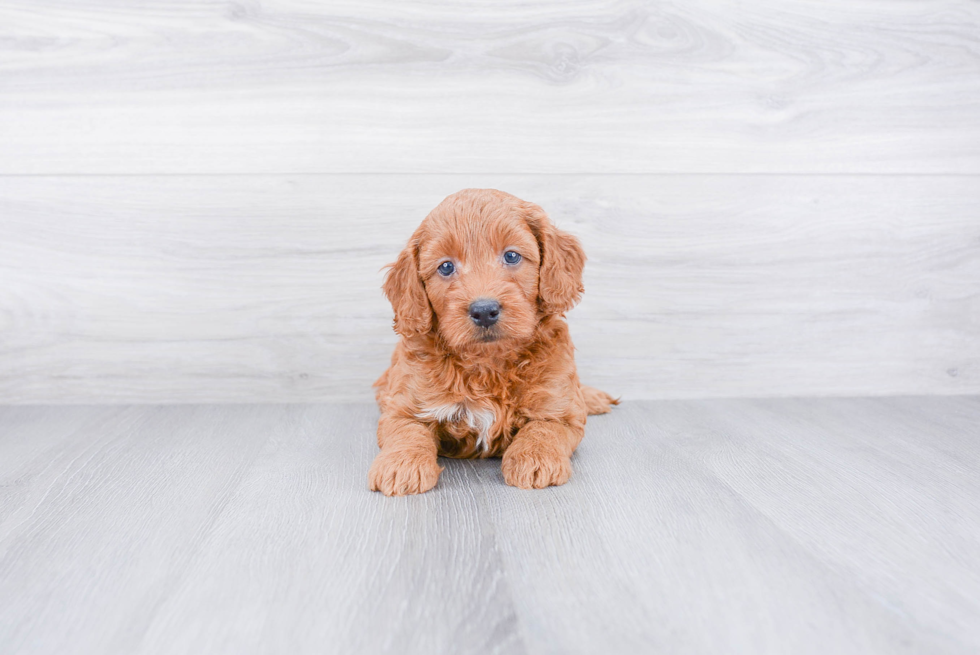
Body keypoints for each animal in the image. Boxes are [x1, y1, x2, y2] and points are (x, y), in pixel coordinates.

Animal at [372, 190, 616, 498]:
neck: (488, 363)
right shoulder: (404, 406)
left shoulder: (559, 409)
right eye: (446, 267)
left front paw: (535, 460)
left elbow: (544, 429)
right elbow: (407, 431)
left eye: (511, 256)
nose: (484, 310)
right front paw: (401, 466)